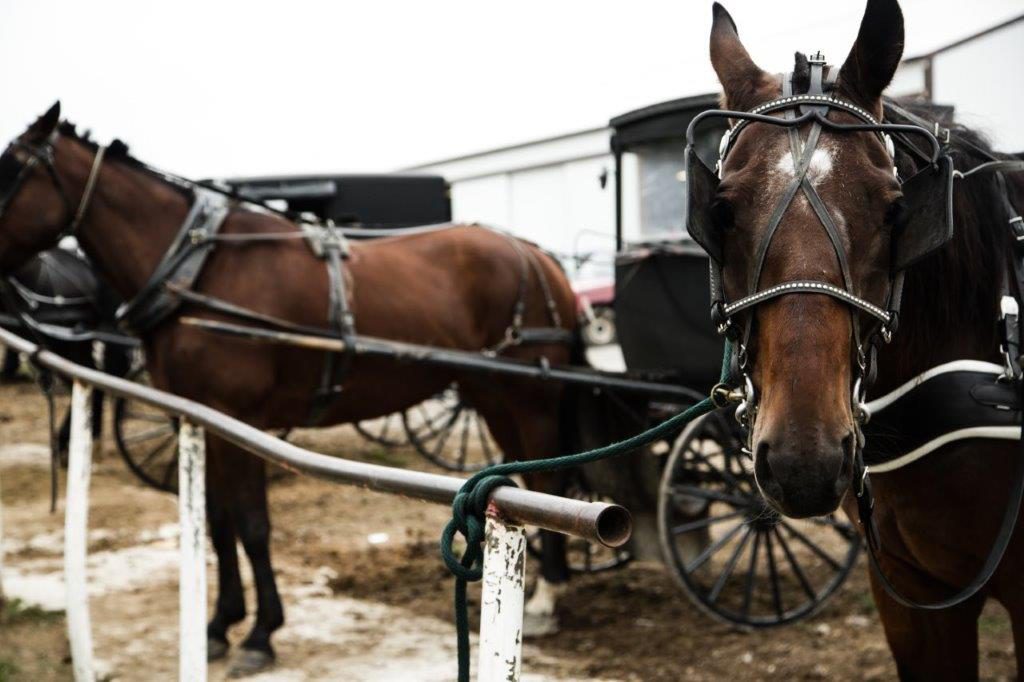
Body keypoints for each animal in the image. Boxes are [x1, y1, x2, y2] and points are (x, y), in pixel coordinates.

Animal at [0, 109, 581, 671]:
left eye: (12, 169)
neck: (200, 271)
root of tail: (537, 255)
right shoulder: (202, 418)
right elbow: (218, 523)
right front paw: (219, 625)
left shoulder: (241, 419)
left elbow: (253, 525)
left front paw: (260, 634)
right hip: (489, 393)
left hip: (527, 395)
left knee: (548, 473)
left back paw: (548, 596)